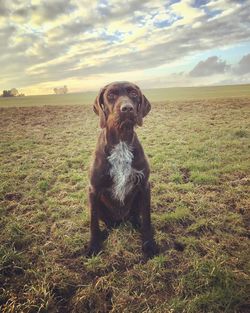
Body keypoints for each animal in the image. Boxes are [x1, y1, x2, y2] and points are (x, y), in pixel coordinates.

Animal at [88, 81, 158, 258]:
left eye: (133, 93)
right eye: (111, 95)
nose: (127, 108)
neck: (121, 142)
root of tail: (121, 221)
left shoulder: (144, 186)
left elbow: (147, 218)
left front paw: (149, 244)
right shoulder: (93, 190)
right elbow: (93, 223)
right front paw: (94, 245)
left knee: (136, 217)